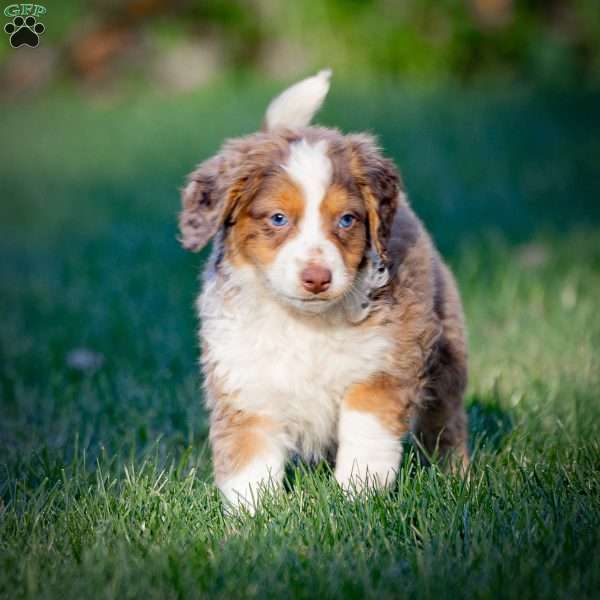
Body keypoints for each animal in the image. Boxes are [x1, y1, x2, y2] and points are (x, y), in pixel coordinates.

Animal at [178, 70, 468, 510]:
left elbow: (366, 436)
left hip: (446, 351)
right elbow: (249, 460)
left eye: (347, 220)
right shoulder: (245, 381)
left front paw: (358, 496)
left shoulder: (383, 364)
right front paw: (252, 517)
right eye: (278, 218)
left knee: (445, 419)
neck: (305, 323)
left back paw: (456, 476)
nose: (317, 277)